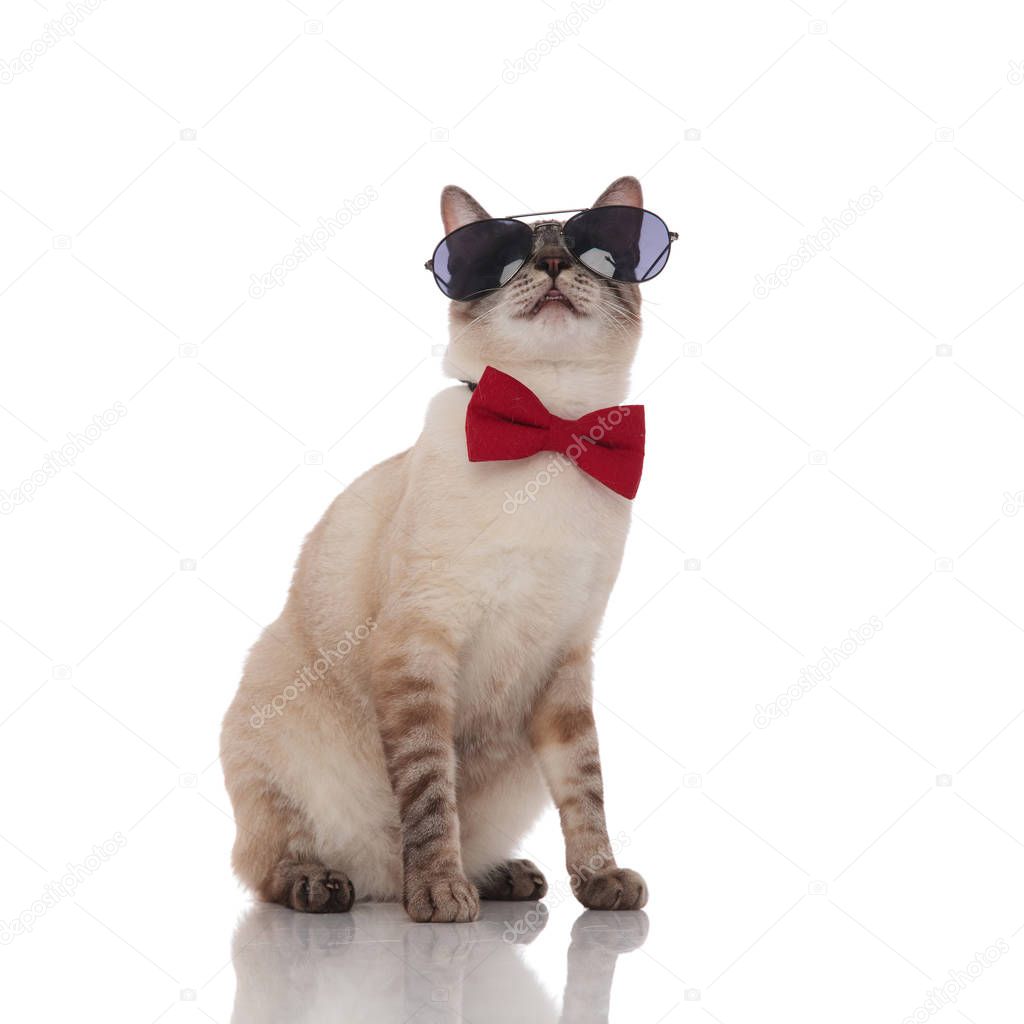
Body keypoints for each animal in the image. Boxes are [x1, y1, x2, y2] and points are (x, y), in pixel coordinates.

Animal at [223, 172, 651, 925]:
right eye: (508, 260)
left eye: (589, 254)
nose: (550, 265)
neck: (552, 426)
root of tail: (377, 886)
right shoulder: (420, 644)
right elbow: (429, 793)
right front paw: (440, 896)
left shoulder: (567, 657)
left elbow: (586, 791)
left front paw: (603, 883)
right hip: (272, 723)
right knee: (273, 863)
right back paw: (341, 886)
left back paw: (504, 876)